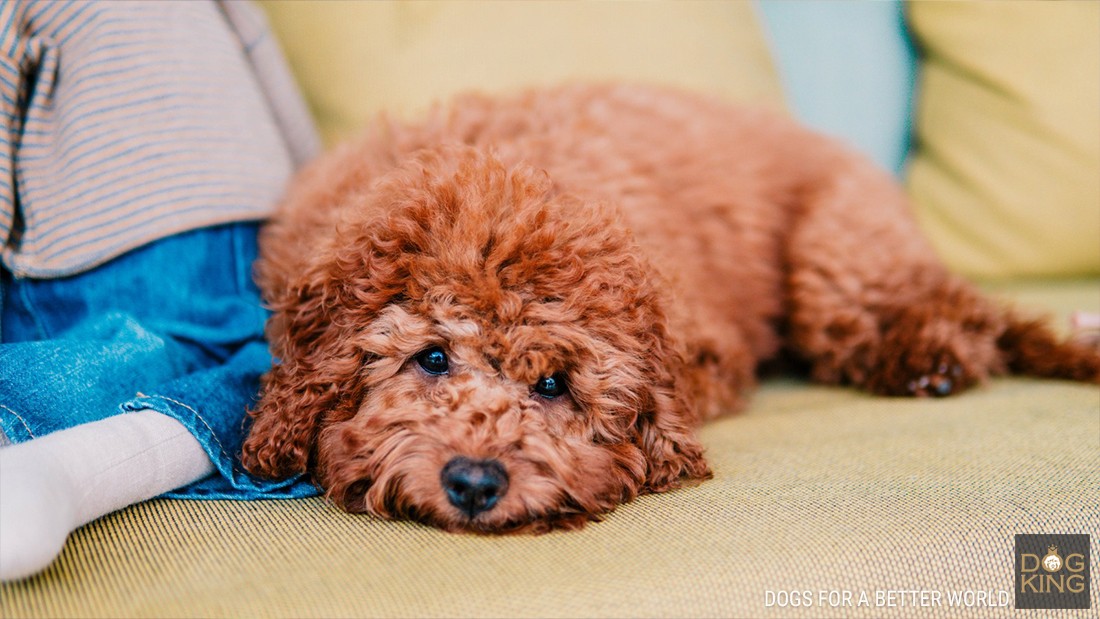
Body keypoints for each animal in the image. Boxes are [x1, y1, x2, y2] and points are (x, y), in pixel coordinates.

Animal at [240, 83, 1100, 532]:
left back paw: (933, 358)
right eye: (431, 356)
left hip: (838, 256)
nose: (476, 482)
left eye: (553, 385)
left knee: (959, 313)